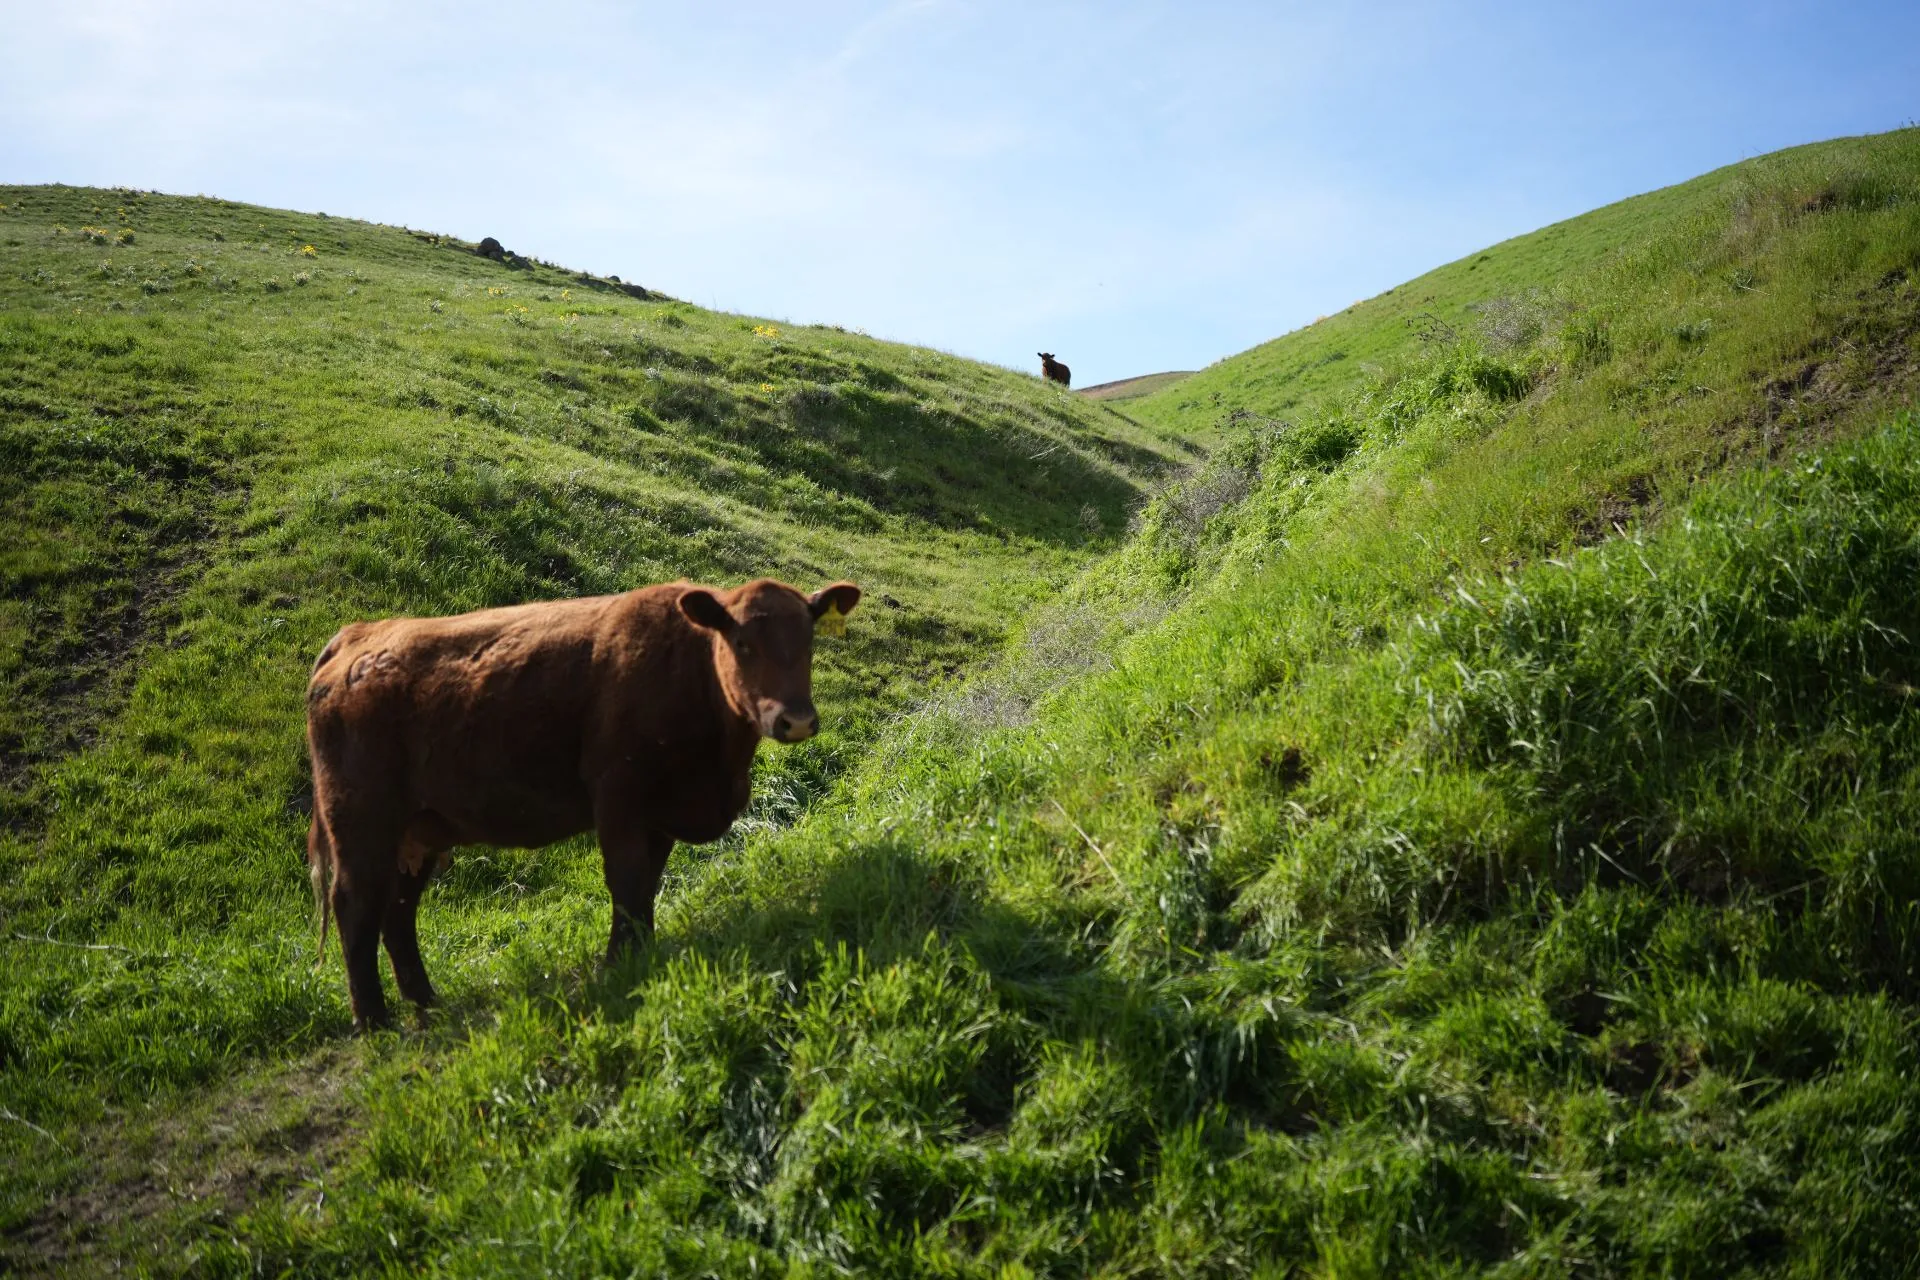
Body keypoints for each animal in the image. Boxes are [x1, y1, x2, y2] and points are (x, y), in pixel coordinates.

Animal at [305, 576, 861, 1031]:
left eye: (809, 641)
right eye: (742, 643)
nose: (796, 720)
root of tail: (358, 636)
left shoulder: (660, 815)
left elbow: (646, 890)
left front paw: (641, 955)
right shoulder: (619, 799)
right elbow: (628, 884)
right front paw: (618, 965)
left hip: (417, 831)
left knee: (398, 913)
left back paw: (425, 1002)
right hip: (362, 820)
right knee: (357, 907)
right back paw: (373, 1020)